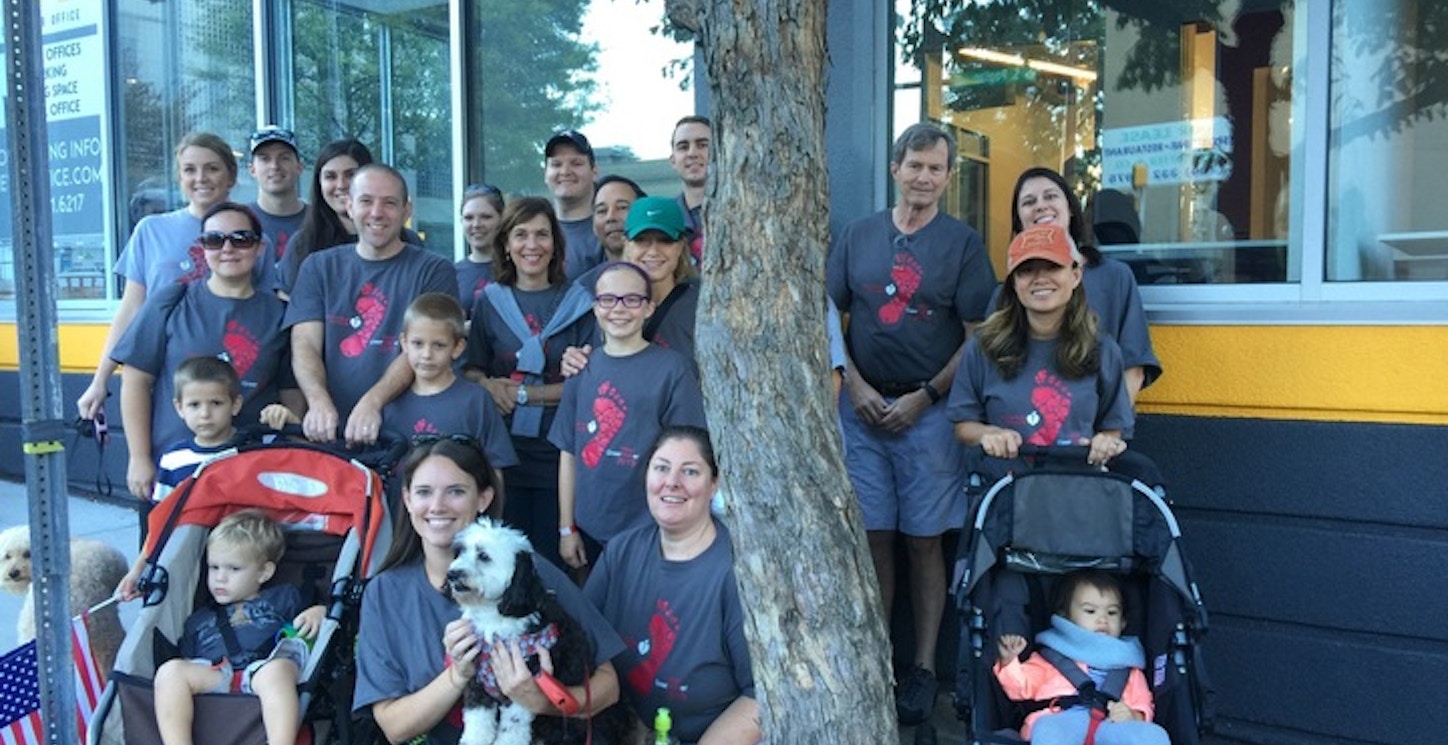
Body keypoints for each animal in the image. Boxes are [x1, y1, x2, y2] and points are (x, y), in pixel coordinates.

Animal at [445, 517, 634, 745]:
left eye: (483, 556)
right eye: (461, 552)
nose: (451, 574)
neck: (495, 617)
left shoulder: (524, 687)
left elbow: (513, 727)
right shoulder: (477, 678)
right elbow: (477, 718)